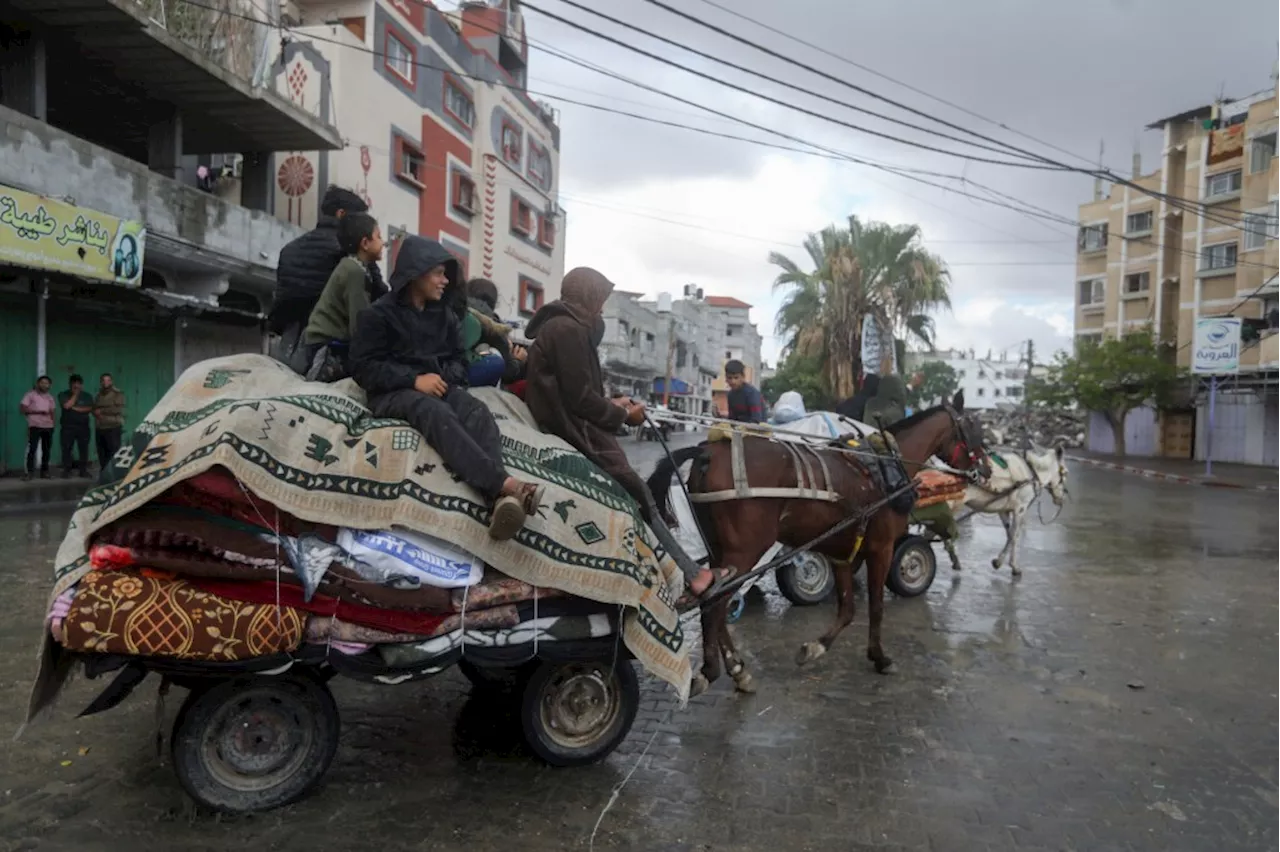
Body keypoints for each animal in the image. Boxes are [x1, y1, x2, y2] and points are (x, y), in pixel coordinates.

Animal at [650, 394, 988, 695]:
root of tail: (708, 453)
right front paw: (880, 658)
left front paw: (816, 647)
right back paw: (711, 671)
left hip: (720, 550)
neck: (886, 468)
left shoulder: (842, 552)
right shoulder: (881, 548)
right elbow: (876, 607)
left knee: (714, 600)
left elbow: (848, 609)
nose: (985, 470)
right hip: (745, 550)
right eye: (973, 427)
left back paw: (738, 669)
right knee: (714, 606)